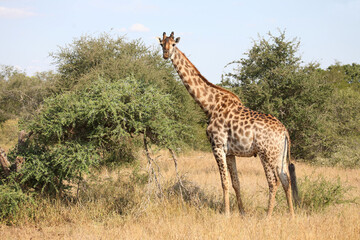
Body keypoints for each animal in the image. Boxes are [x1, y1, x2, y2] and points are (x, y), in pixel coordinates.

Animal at [156, 31, 300, 218]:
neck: (209, 106)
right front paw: (242, 213)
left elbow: (224, 182)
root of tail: (285, 131)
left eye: (173, 44)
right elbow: (236, 183)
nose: (166, 54)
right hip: (279, 156)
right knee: (285, 179)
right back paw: (291, 215)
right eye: (161, 44)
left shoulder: (217, 146)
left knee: (273, 182)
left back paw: (268, 216)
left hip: (266, 154)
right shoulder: (231, 152)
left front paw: (226, 214)